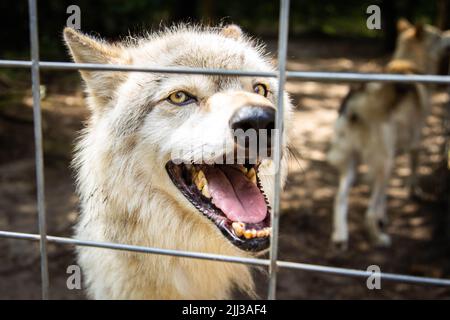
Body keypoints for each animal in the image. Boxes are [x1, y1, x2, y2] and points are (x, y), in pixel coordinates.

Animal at [326, 18, 450, 249]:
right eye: (438, 35)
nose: (448, 32)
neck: (408, 62)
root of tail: (357, 103)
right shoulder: (414, 142)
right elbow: (414, 169)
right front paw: (414, 192)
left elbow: (383, 197)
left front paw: (383, 216)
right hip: (384, 162)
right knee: (368, 213)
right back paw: (378, 238)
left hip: (353, 164)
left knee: (340, 198)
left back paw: (341, 236)